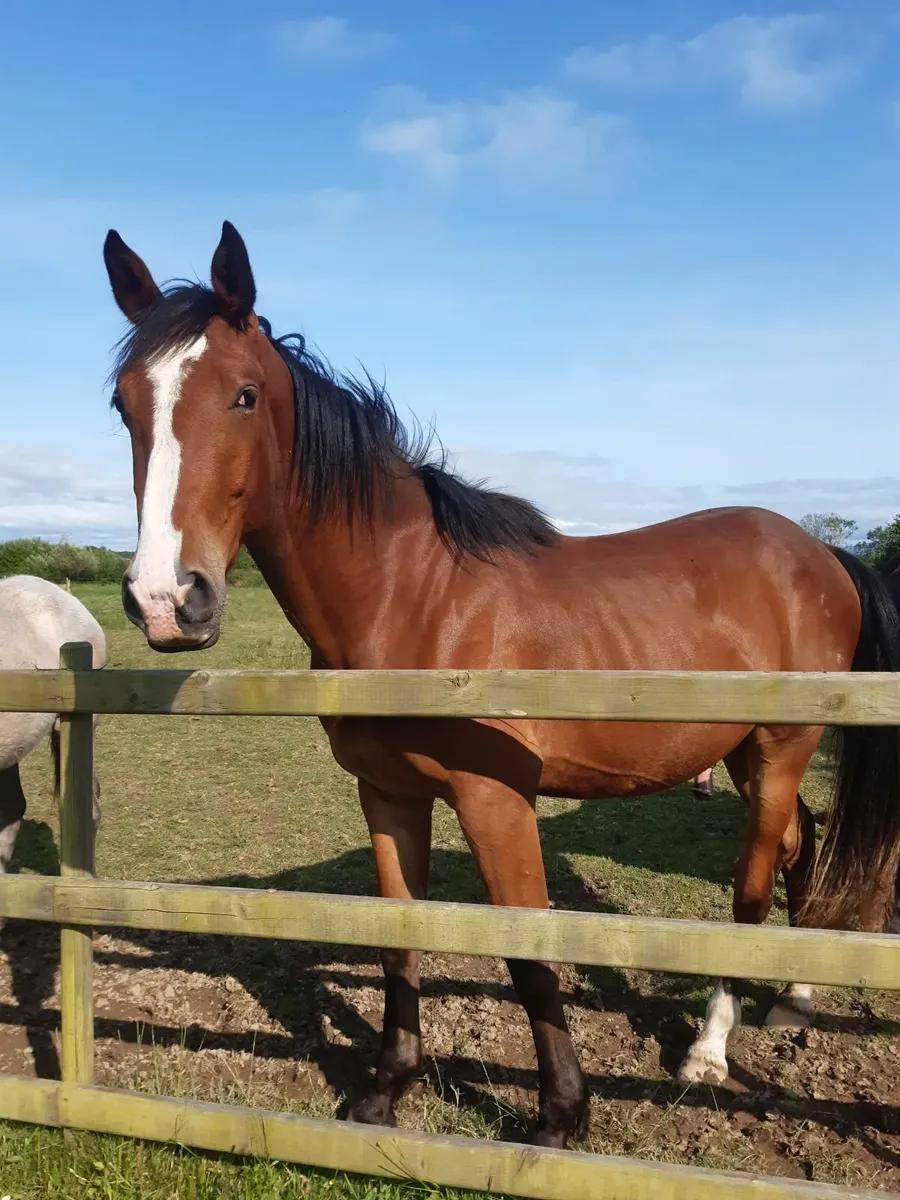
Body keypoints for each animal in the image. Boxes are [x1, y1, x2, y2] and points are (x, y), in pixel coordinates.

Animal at [102, 221, 900, 1148]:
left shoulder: (496, 801)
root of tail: (822, 554)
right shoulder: (388, 794)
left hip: (780, 750)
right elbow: (397, 938)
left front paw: (562, 1116)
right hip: (743, 752)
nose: (166, 599)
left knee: (751, 892)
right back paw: (798, 997)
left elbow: (527, 952)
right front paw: (385, 1092)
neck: (415, 598)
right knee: (804, 849)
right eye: (124, 404)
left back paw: (708, 1050)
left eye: (244, 395)